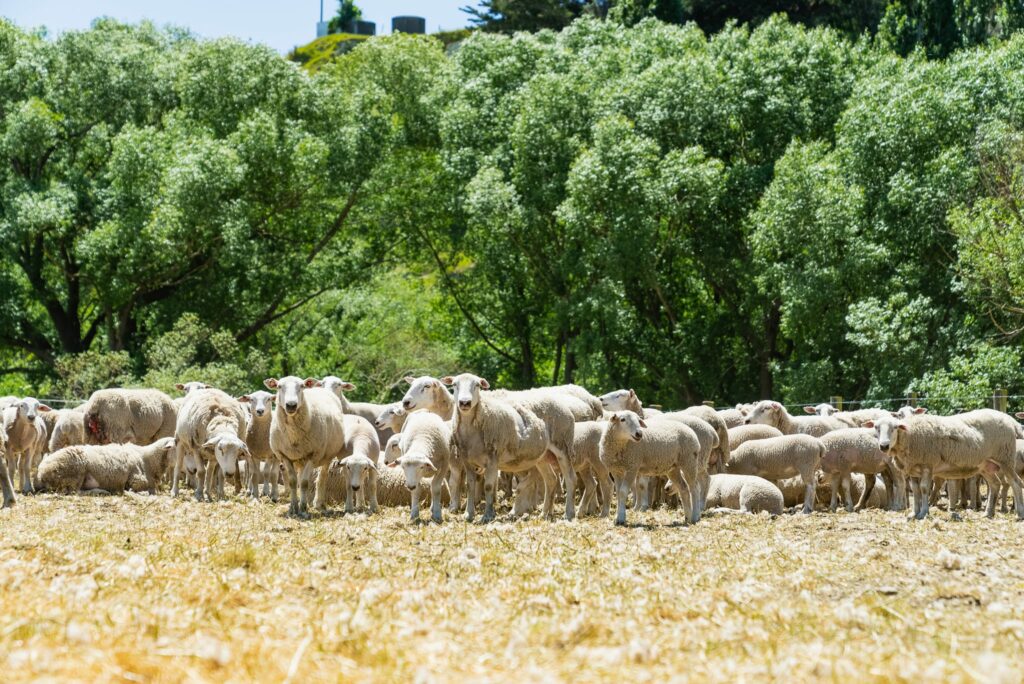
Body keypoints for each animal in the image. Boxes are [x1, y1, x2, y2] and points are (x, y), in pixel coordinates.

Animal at [37, 438, 177, 497]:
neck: (149, 459)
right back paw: (101, 491)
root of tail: (41, 471)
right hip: (75, 472)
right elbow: (143, 490)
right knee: (75, 491)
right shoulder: (137, 480)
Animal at [268, 376, 348, 516]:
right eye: (279, 386)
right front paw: (293, 508)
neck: (293, 435)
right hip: (300, 458)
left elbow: (305, 482)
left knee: (322, 477)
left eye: (302, 386)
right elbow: (293, 482)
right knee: (300, 478)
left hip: (326, 455)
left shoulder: (313, 455)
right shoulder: (284, 456)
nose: (291, 405)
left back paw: (319, 503)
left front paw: (303, 508)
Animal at [864, 411, 1024, 518]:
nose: (884, 446)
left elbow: (924, 489)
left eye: (895, 428)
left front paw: (923, 513)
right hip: (986, 464)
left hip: (1005, 458)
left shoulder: (927, 464)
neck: (910, 436)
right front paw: (914, 513)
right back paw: (988, 513)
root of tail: (1008, 419)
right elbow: (915, 491)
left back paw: (1019, 513)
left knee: (1015, 483)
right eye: (876, 428)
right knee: (995, 484)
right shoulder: (913, 469)